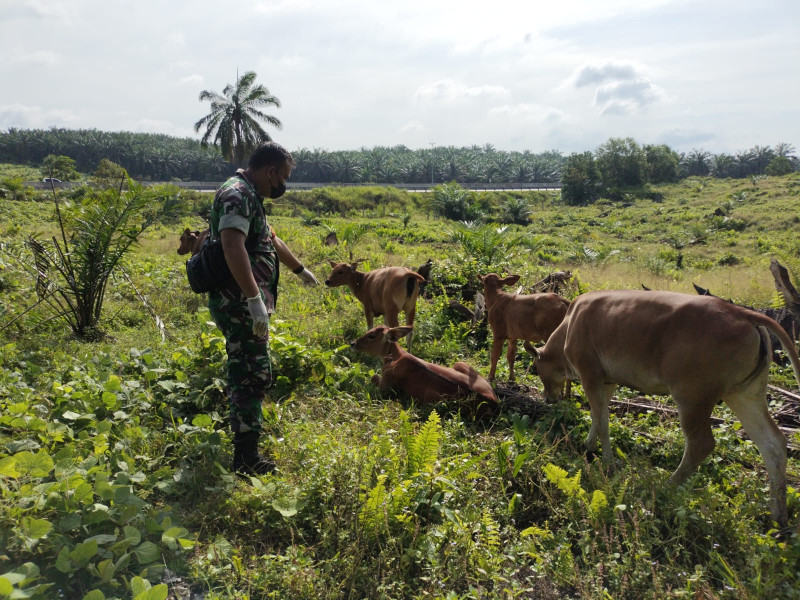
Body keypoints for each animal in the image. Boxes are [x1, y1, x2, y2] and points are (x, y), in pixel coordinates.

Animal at [352, 326, 496, 420]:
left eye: (371, 335)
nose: (353, 343)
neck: (393, 356)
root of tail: (493, 401)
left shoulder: (386, 388)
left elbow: (373, 376)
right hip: (460, 363)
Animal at [524, 288, 800, 528]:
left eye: (536, 367)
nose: (548, 398)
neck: (569, 325)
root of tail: (742, 313)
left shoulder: (590, 374)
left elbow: (602, 422)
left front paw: (608, 461)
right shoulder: (607, 380)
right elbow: (597, 415)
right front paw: (589, 445)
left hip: (691, 398)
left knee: (701, 444)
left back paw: (668, 485)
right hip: (745, 394)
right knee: (773, 444)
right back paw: (778, 515)